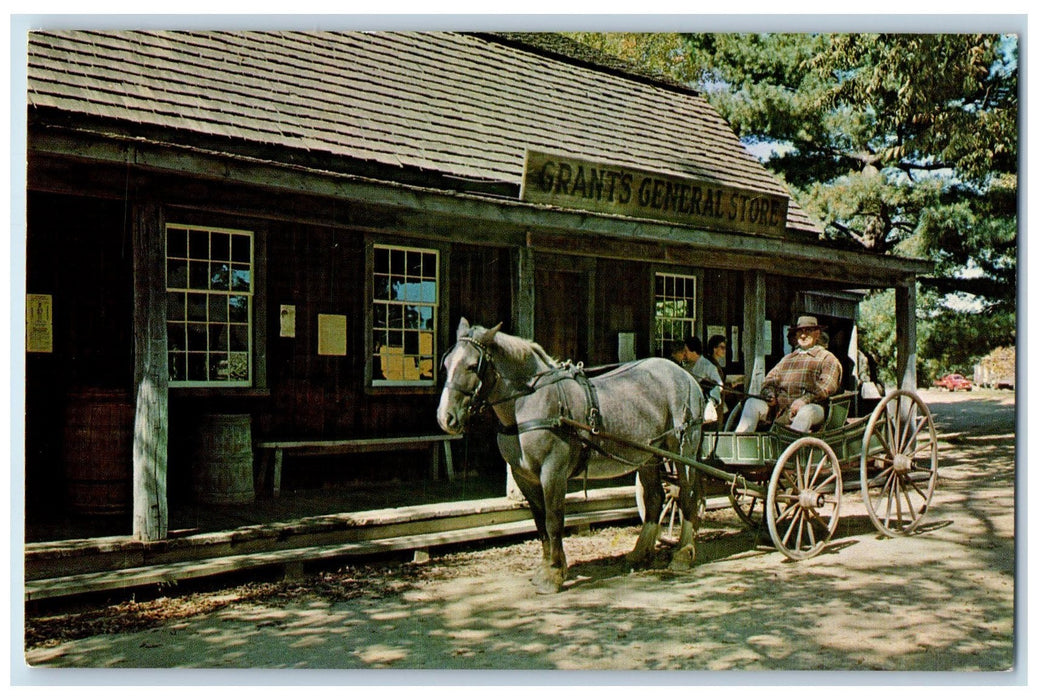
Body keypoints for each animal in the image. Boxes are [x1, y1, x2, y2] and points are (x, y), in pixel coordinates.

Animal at [438, 319, 705, 589]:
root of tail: (686, 376)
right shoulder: (525, 477)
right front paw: (549, 566)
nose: (445, 417)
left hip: (684, 451)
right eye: (447, 364)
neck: (531, 401)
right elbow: (540, 522)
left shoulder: (552, 472)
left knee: (686, 496)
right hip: (648, 457)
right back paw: (640, 554)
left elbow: (554, 519)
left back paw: (683, 553)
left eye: (473, 366)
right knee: (654, 500)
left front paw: (553, 573)